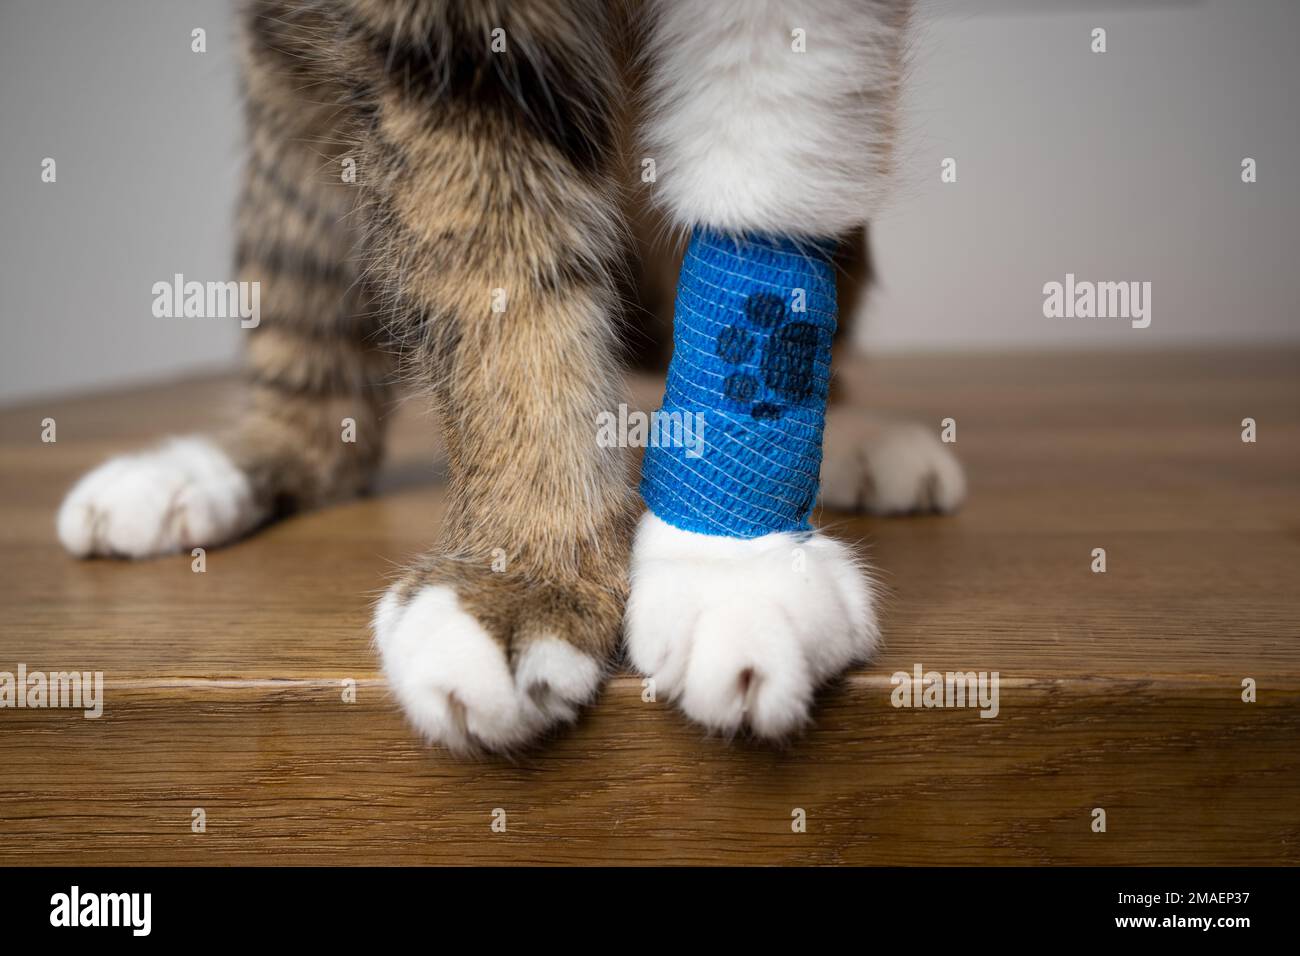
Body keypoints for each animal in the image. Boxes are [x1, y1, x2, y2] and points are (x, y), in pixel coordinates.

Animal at [55, 0, 961, 749]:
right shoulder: (440, 49)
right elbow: (498, 287)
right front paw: (522, 569)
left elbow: (763, 183)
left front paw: (730, 561)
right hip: (287, 107)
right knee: (320, 417)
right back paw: (194, 474)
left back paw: (853, 438)